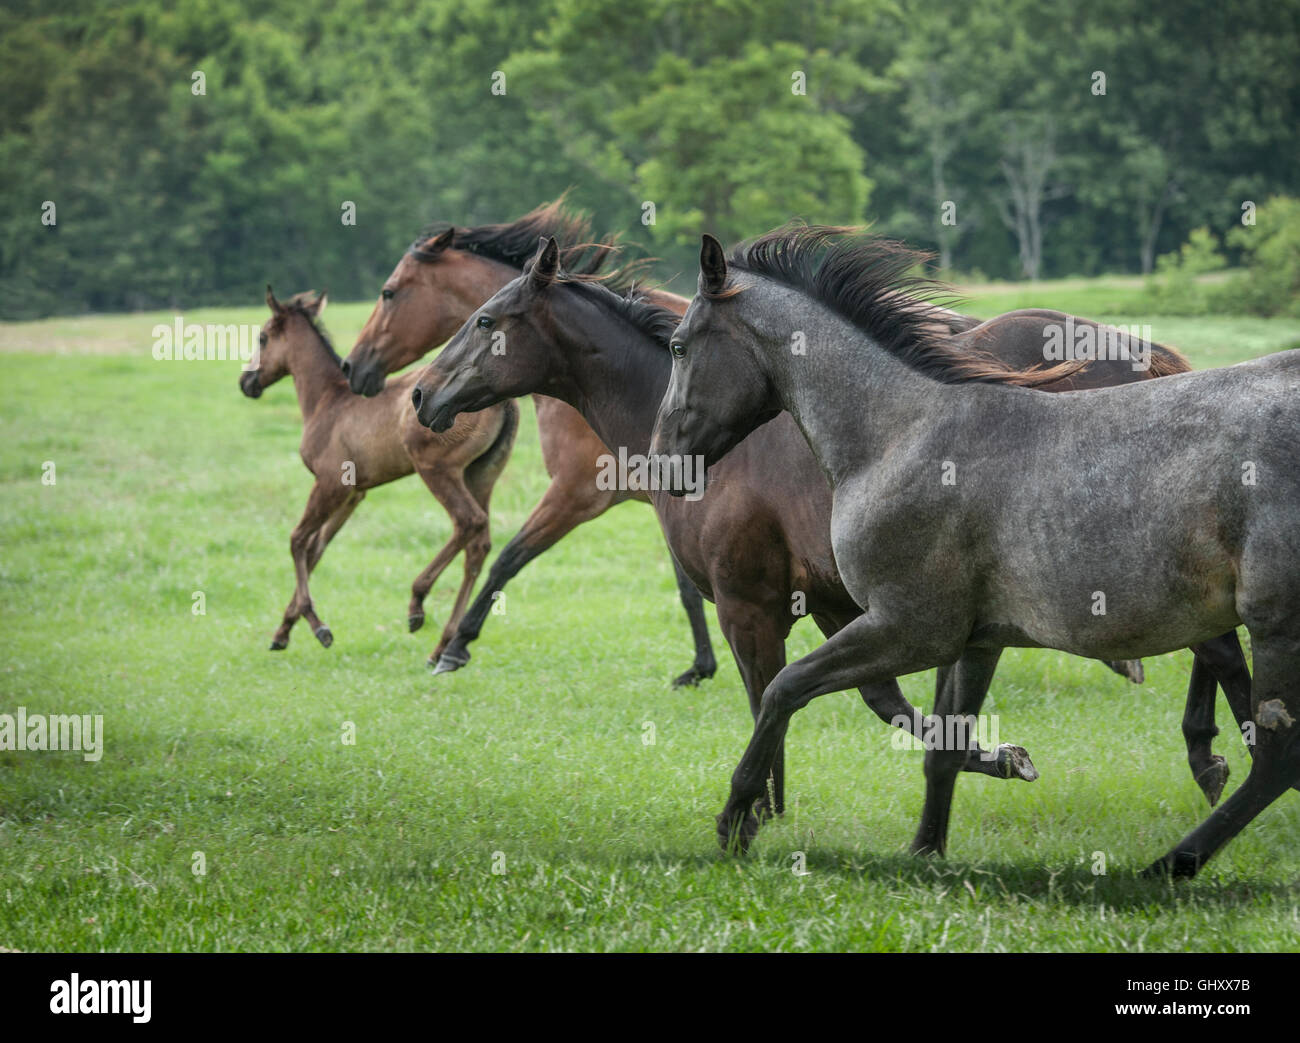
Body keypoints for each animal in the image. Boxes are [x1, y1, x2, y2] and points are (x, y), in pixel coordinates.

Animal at [240, 288, 517, 658]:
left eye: (263, 337)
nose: (246, 381)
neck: (326, 399)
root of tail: (503, 401)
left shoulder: (330, 484)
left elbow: (298, 541)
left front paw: (318, 627)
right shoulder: (354, 493)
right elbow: (316, 549)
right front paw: (283, 631)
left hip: (437, 470)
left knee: (468, 522)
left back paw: (417, 604)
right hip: (482, 474)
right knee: (479, 544)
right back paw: (444, 644)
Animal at [340, 199, 717, 687]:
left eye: (388, 293)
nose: (352, 366)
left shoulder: (575, 495)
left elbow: (508, 557)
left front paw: (456, 646)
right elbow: (688, 587)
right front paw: (700, 666)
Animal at [408, 236, 1251, 819]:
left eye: (485, 319)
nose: (418, 396)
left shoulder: (755, 606)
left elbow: (772, 697)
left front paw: (759, 809)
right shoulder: (839, 605)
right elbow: (888, 704)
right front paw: (997, 756)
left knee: (1216, 646)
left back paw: (1210, 754)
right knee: (1216, 644)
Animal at [651, 226, 1297, 878]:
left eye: (679, 346)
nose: (661, 462)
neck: (899, 436)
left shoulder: (910, 627)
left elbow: (783, 689)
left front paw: (736, 818)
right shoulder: (976, 639)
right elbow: (945, 743)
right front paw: (927, 852)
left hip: (1274, 628)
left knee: (1275, 759)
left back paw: (1171, 864)